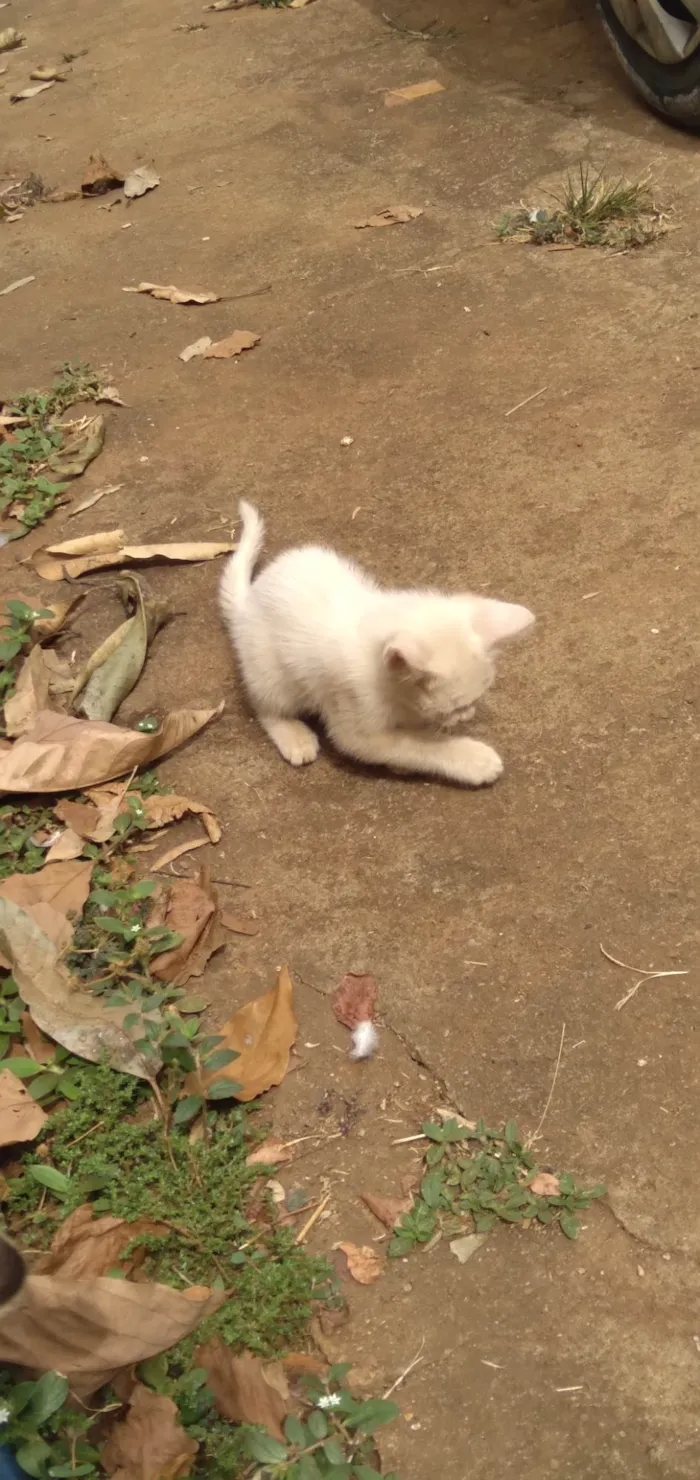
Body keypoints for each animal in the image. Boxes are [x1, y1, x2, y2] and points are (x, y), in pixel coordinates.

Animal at [220, 503, 532, 787]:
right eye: (456, 708)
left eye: (474, 701)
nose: (468, 715)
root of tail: (246, 604)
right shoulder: (355, 723)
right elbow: (415, 745)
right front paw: (474, 759)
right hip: (270, 670)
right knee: (265, 705)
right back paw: (293, 735)